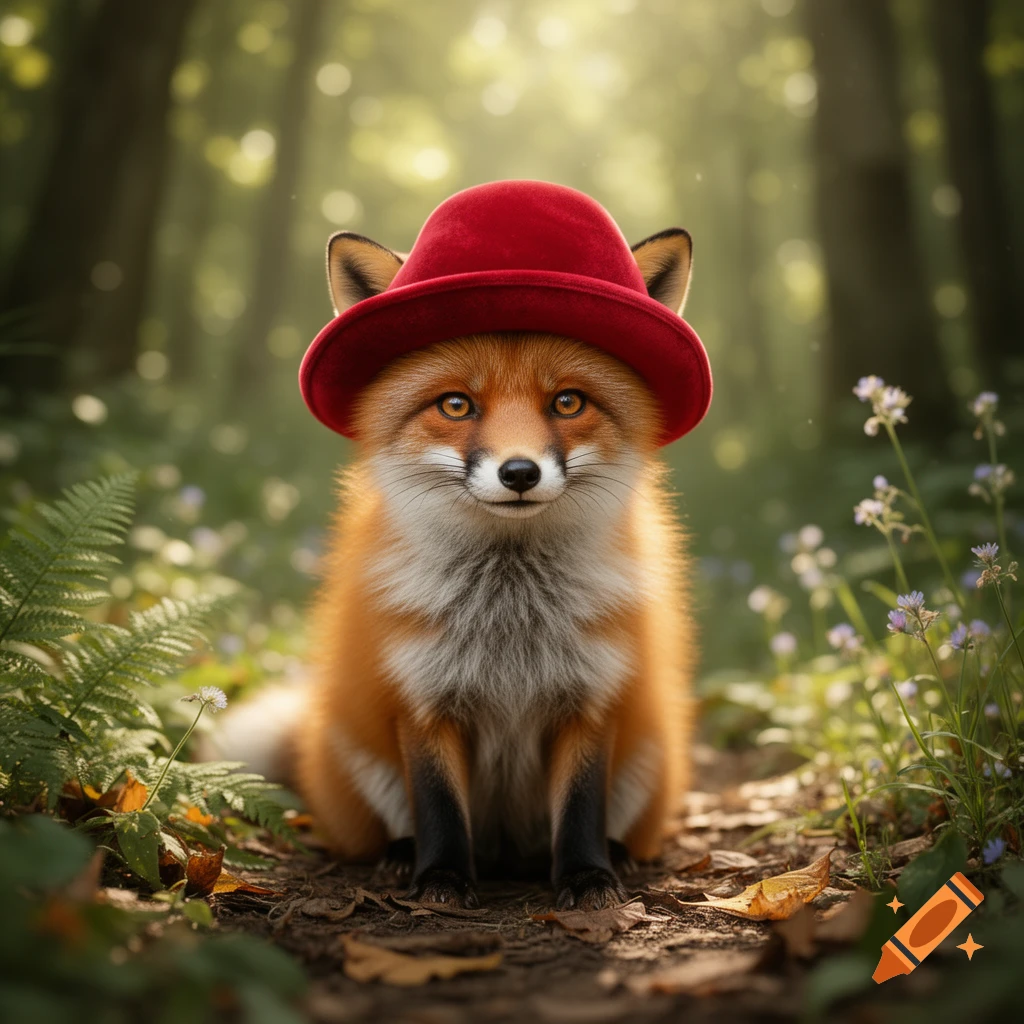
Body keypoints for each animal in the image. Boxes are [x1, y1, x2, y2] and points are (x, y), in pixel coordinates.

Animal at [211, 221, 697, 911]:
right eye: (457, 405)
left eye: (568, 402)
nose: (519, 473)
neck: (510, 618)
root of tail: (507, 855)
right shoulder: (422, 698)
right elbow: (439, 805)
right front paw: (440, 879)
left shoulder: (591, 698)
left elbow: (581, 808)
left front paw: (587, 878)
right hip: (361, 756)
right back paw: (400, 857)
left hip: (650, 755)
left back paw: (616, 855)